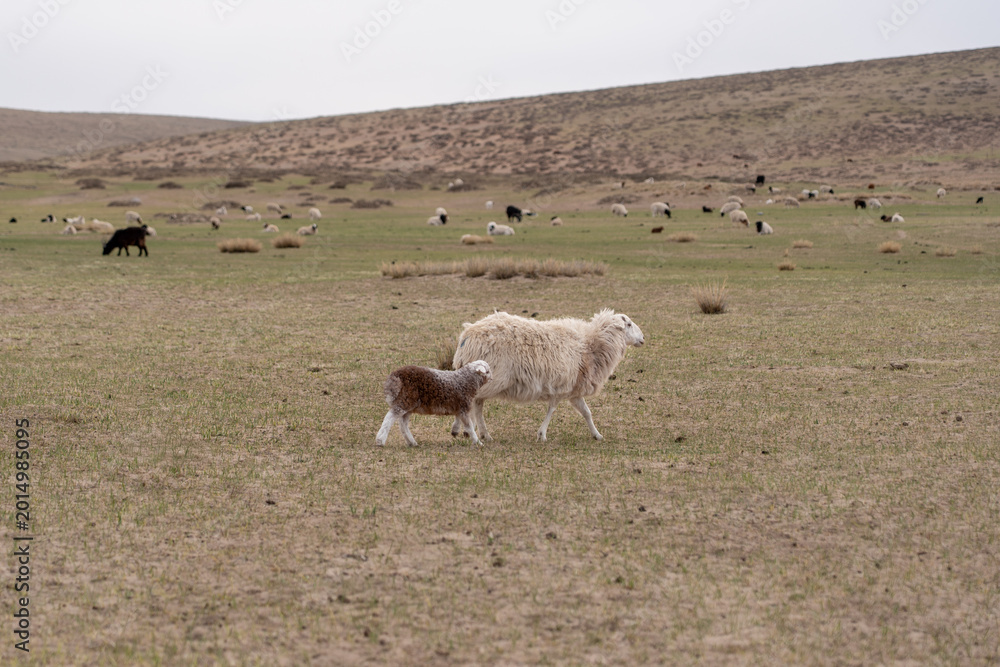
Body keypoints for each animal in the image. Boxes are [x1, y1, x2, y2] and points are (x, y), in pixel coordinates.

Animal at [451, 309, 645, 442]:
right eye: (628, 324)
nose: (643, 338)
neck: (590, 346)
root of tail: (466, 337)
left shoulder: (574, 389)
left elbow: (586, 412)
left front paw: (597, 435)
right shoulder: (561, 386)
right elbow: (552, 409)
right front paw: (542, 434)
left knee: (476, 404)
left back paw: (481, 433)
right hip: (492, 378)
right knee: (470, 401)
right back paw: (465, 430)